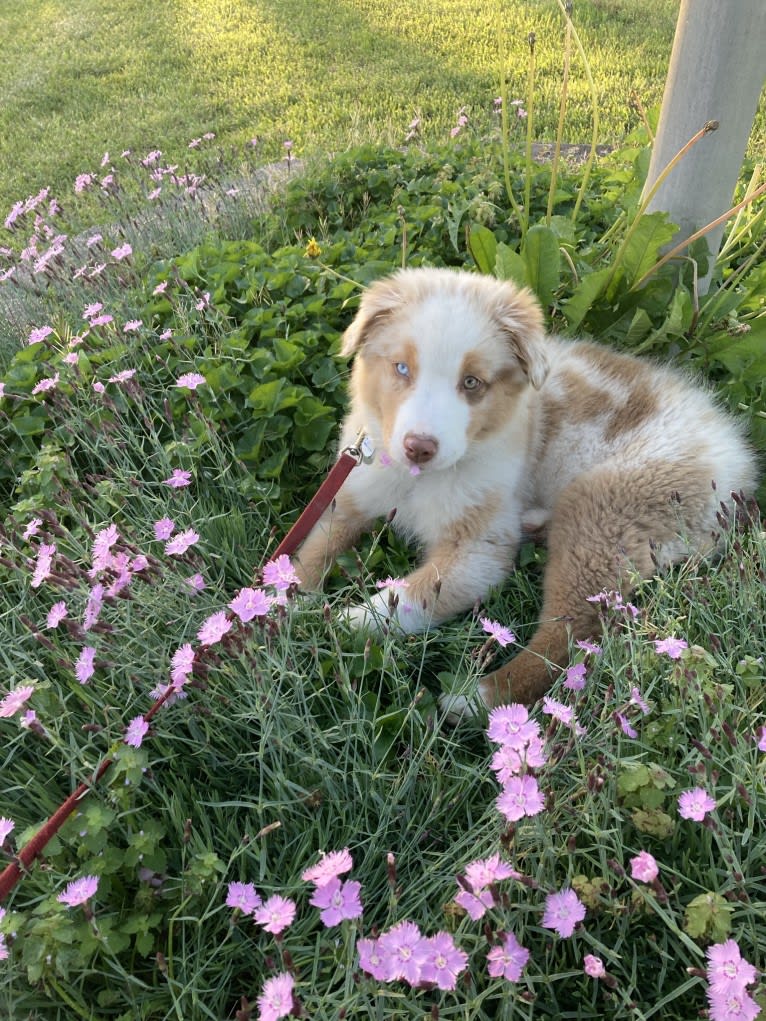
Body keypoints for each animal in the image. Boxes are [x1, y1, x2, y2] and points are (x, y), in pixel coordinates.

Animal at [296, 267, 763, 714]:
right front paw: (287, 597)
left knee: (571, 632)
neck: (417, 479)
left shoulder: (479, 550)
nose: (419, 447)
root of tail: (736, 462)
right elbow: (312, 548)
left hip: (602, 508)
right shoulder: (352, 491)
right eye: (402, 368)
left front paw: (333, 624)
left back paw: (480, 700)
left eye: (472, 383)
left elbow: (407, 597)